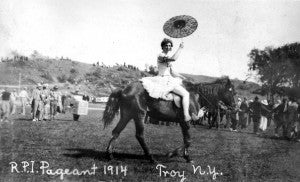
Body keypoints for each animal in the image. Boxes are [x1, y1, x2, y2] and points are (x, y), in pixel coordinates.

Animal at [102, 77, 236, 163]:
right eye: (232, 92)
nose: (235, 107)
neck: (196, 96)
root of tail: (124, 89)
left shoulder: (183, 123)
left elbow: (186, 140)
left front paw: (184, 156)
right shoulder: (185, 122)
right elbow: (188, 140)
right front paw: (174, 154)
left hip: (126, 115)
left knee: (116, 132)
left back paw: (110, 155)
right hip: (139, 115)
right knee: (139, 135)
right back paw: (150, 158)